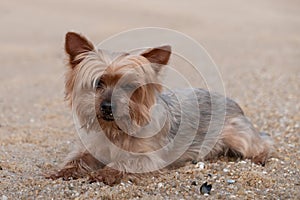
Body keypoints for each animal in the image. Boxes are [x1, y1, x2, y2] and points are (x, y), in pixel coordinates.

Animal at [47, 31, 274, 186]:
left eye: (129, 87)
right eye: (98, 83)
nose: (108, 107)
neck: (114, 131)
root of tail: (229, 99)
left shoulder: (148, 158)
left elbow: (126, 162)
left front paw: (105, 172)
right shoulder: (90, 148)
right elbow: (76, 159)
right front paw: (62, 171)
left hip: (237, 135)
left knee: (263, 143)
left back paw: (260, 157)